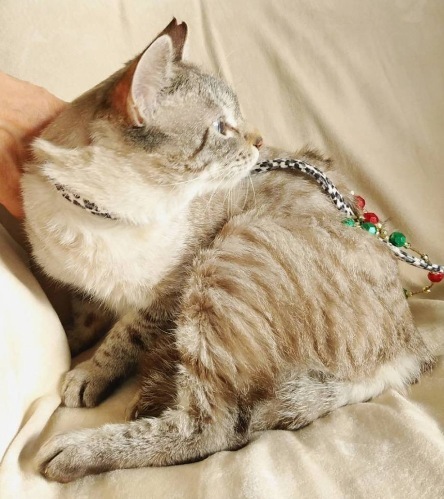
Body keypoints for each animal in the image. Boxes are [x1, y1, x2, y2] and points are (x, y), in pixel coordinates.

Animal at [22, 19, 433, 483]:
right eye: (222, 127)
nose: (260, 140)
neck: (106, 216)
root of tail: (409, 348)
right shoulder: (81, 286)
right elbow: (87, 315)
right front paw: (75, 340)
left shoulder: (169, 291)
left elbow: (122, 337)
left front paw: (90, 373)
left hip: (224, 260)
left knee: (213, 427)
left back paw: (79, 450)